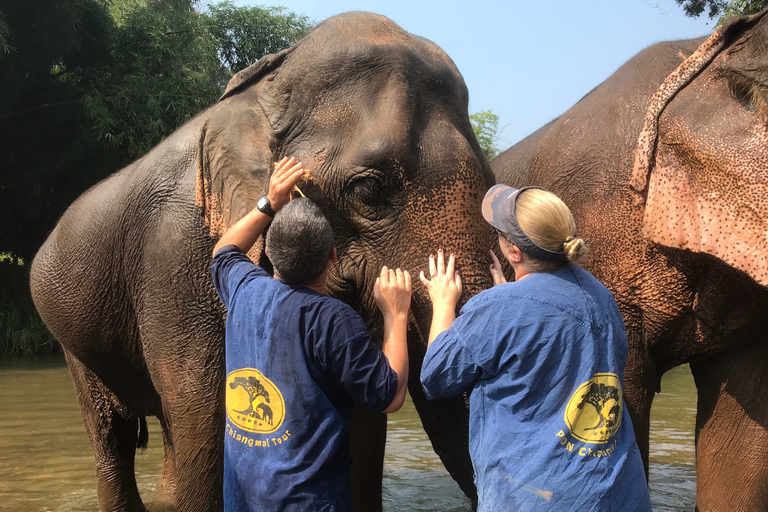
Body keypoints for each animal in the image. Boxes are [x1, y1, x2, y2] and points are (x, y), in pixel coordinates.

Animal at [30, 13, 492, 512]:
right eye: (370, 190)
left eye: (491, 180)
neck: (262, 94)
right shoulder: (173, 260)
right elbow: (204, 415)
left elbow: (363, 421)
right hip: (73, 342)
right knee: (114, 435)